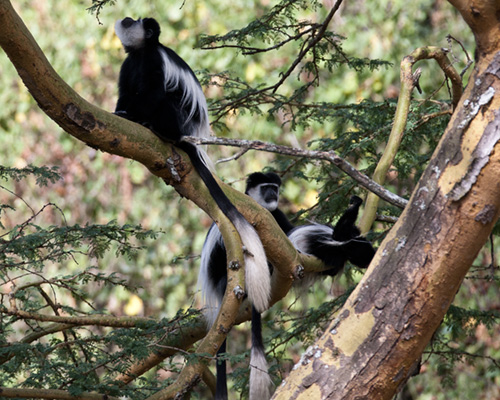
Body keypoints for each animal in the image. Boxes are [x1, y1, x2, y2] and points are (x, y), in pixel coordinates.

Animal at [114, 17, 270, 312]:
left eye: (135, 21)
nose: (126, 19)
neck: (141, 52)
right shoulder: (128, 65)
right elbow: (125, 94)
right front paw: (120, 113)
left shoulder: (154, 62)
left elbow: (152, 93)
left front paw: (134, 117)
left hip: (179, 119)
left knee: (166, 99)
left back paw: (160, 130)